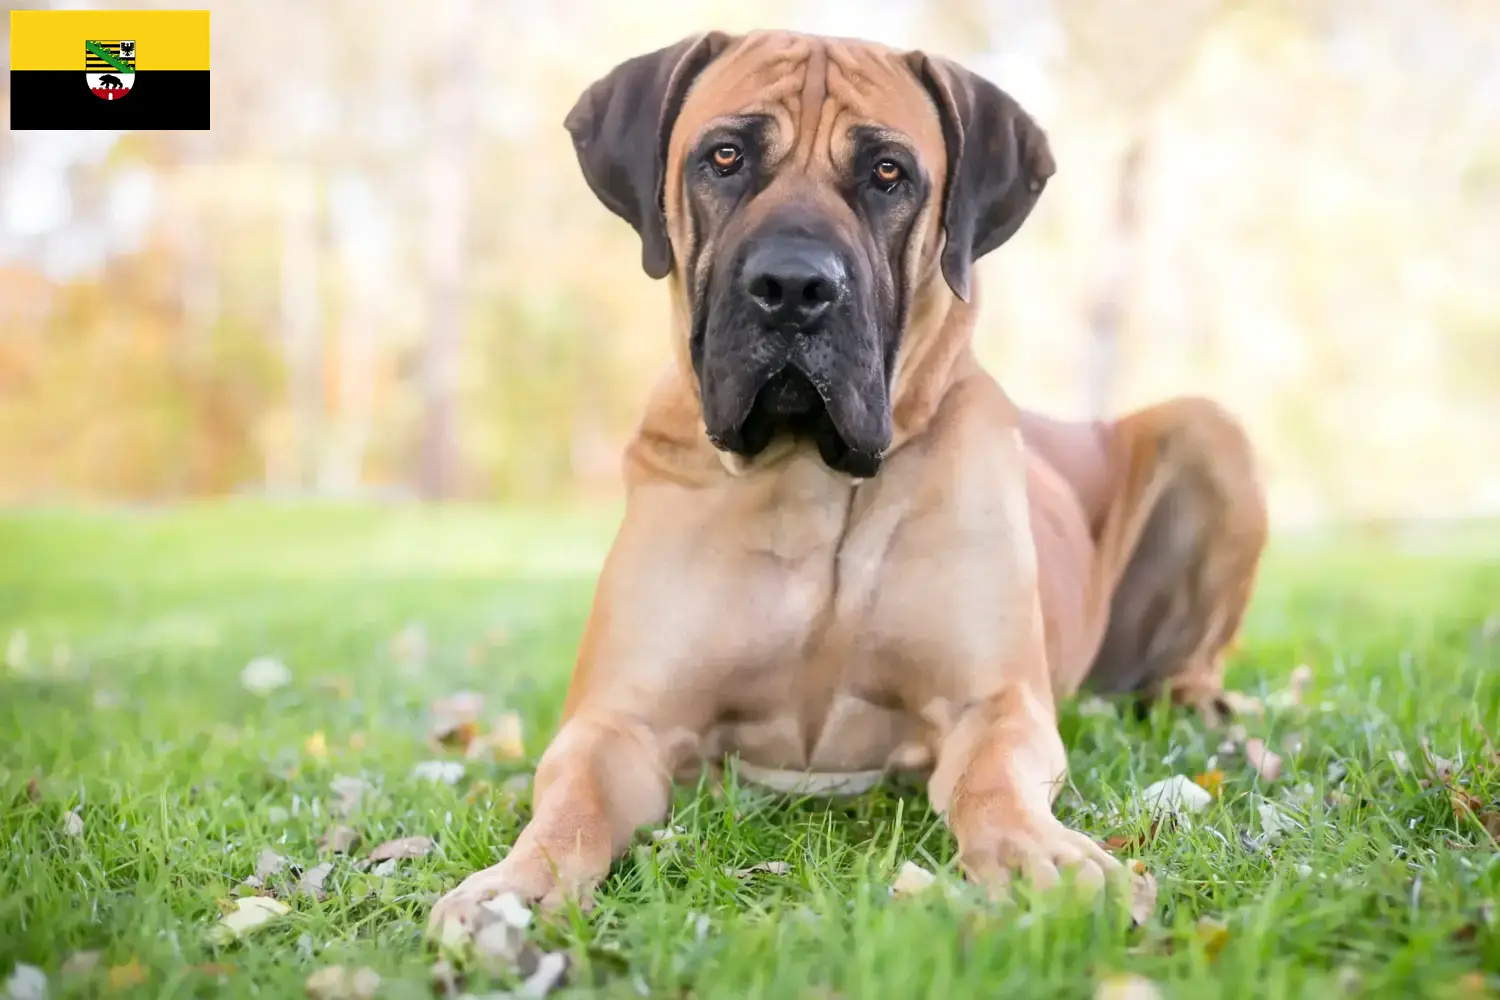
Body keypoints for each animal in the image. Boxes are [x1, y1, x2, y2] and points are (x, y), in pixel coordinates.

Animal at [435, 25, 1266, 929]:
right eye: (725, 156)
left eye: (888, 173)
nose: (794, 287)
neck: (811, 477)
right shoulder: (620, 718)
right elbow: (572, 799)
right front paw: (515, 884)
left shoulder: (995, 701)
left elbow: (992, 779)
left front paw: (1041, 855)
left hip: (1211, 429)